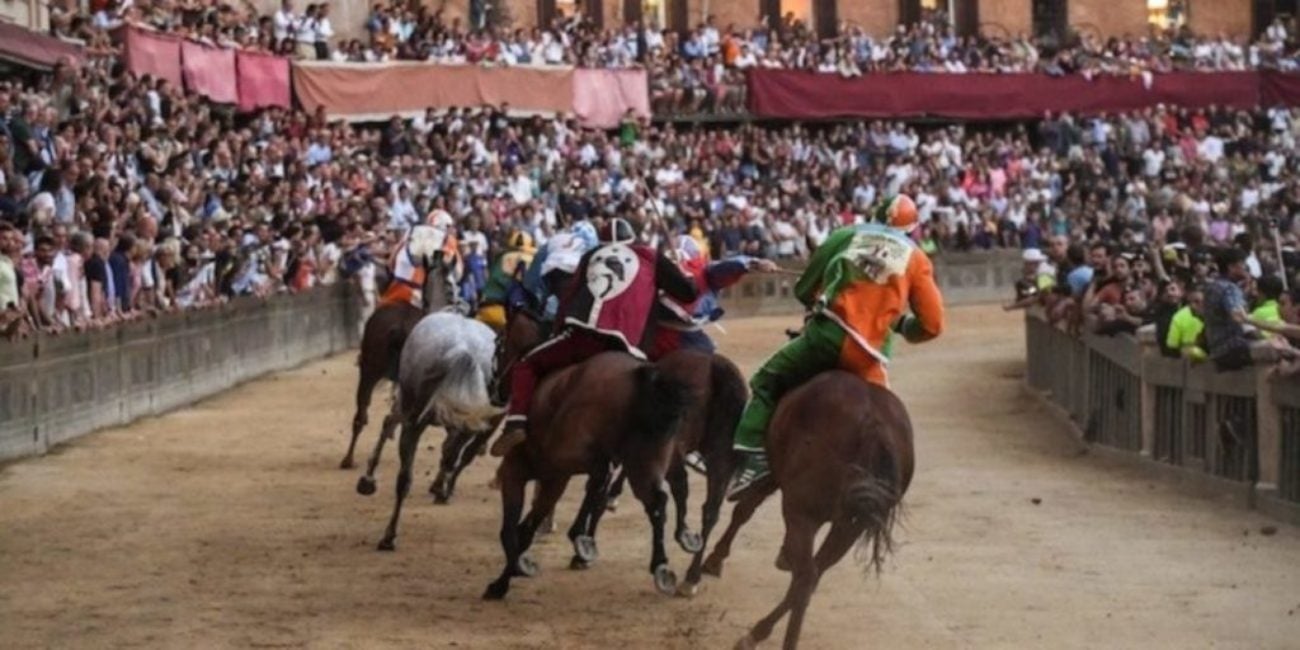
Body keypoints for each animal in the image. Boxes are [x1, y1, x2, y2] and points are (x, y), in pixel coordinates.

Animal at [356, 312, 501, 551]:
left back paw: (389, 535)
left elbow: (388, 425)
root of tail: (462, 348)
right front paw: (440, 488)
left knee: (404, 477)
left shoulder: (408, 409)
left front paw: (367, 480)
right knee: (452, 455)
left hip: (414, 418)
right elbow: (449, 453)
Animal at [483, 308, 696, 598]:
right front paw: (516, 568)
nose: (493, 390)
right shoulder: (554, 481)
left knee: (602, 478)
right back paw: (660, 565)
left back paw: (582, 539)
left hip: (575, 457)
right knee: (656, 500)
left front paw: (502, 582)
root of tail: (643, 376)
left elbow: (510, 531)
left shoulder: (518, 471)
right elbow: (525, 528)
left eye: (499, 344)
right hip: (644, 462)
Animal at [702, 371, 915, 650]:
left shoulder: (775, 477)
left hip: (802, 512)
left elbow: (744, 510)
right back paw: (757, 631)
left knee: (805, 577)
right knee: (813, 574)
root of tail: (874, 425)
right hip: (850, 526)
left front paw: (714, 559)